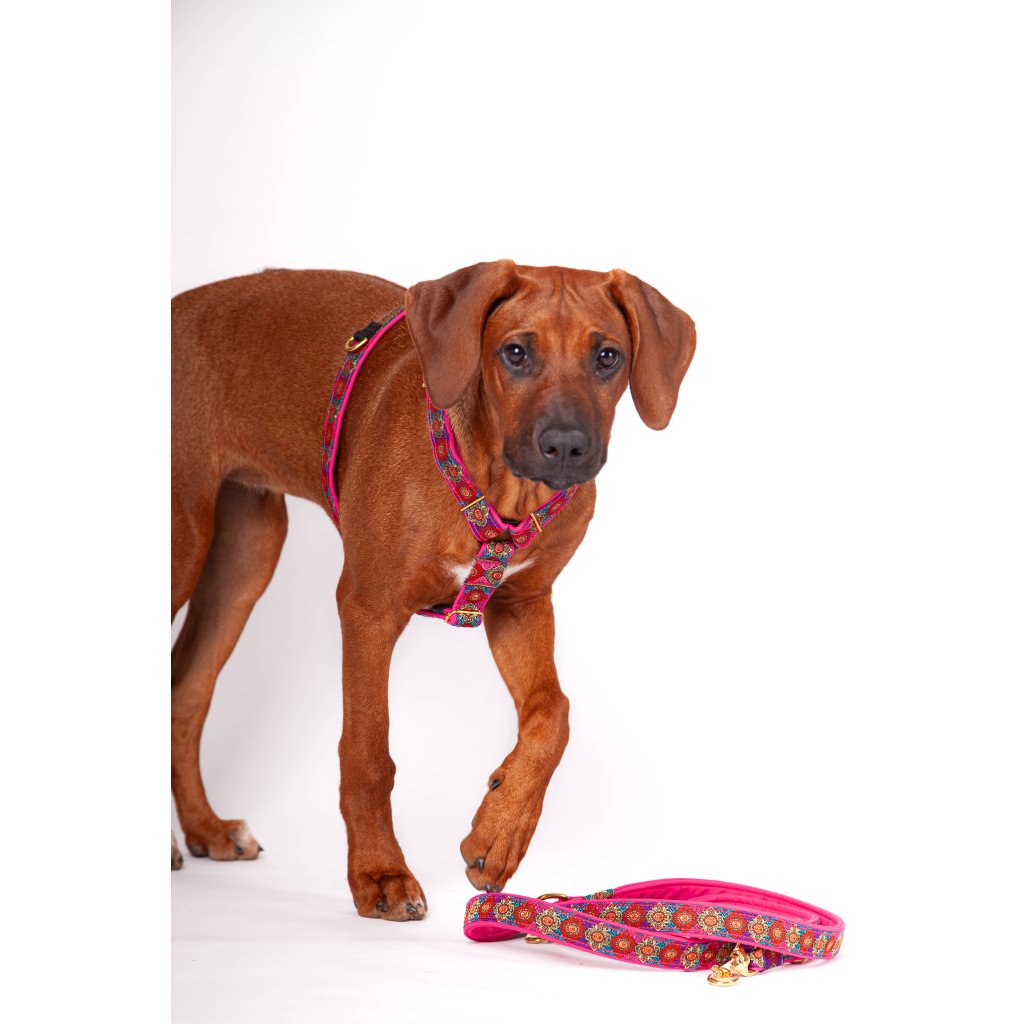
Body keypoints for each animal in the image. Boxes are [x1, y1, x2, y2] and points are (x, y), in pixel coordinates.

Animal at [171, 261, 695, 920]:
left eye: (607, 356)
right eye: (515, 353)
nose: (566, 448)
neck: (498, 486)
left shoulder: (521, 605)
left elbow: (554, 714)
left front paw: (500, 831)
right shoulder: (368, 609)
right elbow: (368, 752)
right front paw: (379, 874)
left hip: (245, 555)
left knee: (187, 688)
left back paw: (205, 830)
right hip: (184, 543)